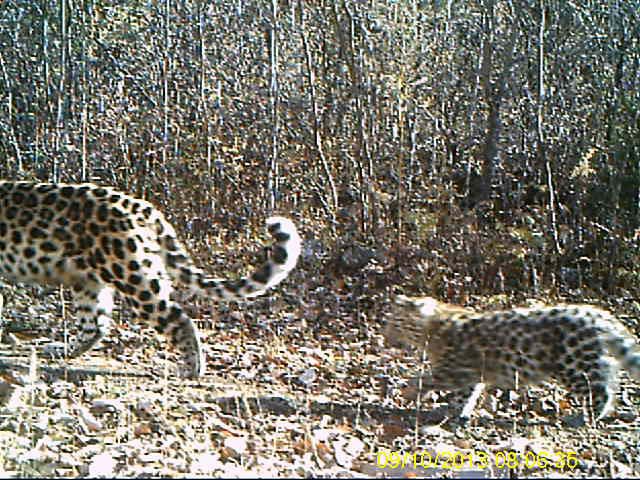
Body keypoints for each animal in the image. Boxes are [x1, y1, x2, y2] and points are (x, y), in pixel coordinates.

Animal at [0, 181, 302, 378]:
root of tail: (141, 207)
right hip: (88, 279)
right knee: (95, 325)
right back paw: (61, 351)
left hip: (133, 275)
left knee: (179, 319)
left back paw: (192, 370)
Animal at [384, 294, 640, 422]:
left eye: (395, 322)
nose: (385, 335)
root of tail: (599, 315)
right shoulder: (469, 374)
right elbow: (465, 395)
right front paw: (456, 411)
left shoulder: (454, 370)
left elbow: (426, 379)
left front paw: (408, 391)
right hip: (589, 360)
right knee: (610, 381)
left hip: (575, 364)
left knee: (601, 391)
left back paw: (586, 417)